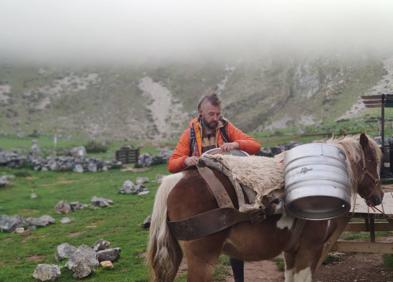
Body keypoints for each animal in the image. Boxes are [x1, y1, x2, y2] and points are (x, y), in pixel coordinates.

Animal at [145, 133, 382, 280]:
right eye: (372, 161)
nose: (378, 197)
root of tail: (174, 180)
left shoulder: (292, 252)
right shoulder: (310, 250)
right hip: (202, 260)